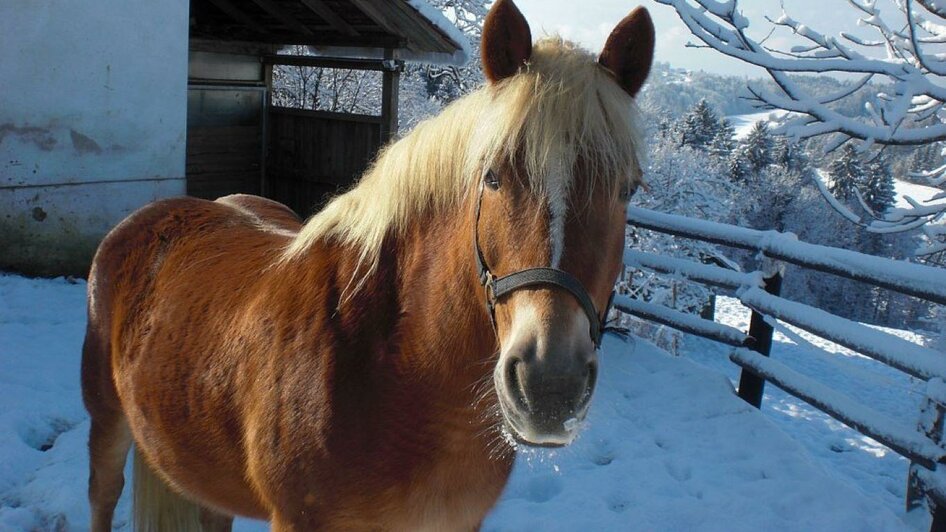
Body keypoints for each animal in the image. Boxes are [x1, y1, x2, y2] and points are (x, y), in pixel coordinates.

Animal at [81, 2, 652, 528]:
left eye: (627, 189)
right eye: (493, 177)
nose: (549, 387)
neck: (395, 369)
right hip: (107, 424)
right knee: (102, 496)